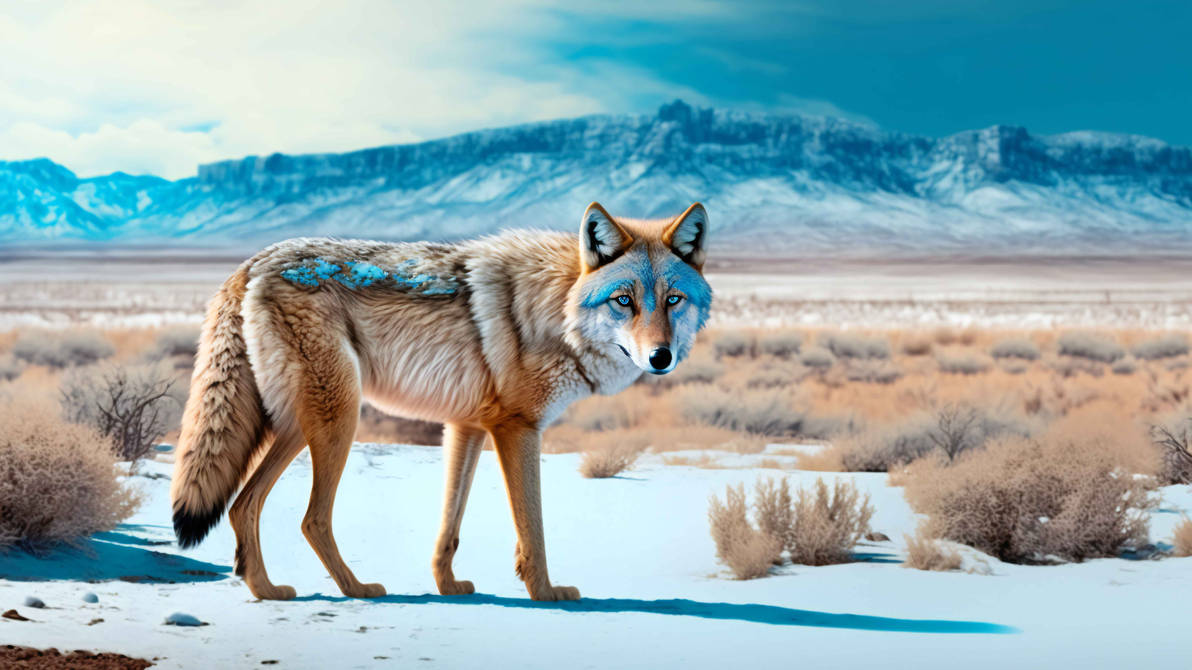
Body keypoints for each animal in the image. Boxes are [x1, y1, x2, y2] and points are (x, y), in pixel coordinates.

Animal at [170, 201, 711, 601]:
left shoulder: (466, 426)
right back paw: (356, 588)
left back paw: (266, 590)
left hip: (298, 426)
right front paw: (545, 593)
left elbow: (450, 523)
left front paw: (447, 585)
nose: (661, 357)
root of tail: (251, 262)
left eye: (673, 300)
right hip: (338, 420)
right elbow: (532, 526)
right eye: (624, 301)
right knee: (311, 518)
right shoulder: (518, 429)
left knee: (244, 504)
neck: (557, 308)